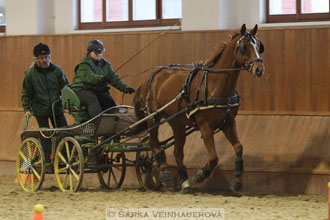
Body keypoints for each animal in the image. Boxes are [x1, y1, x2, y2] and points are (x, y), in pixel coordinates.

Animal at [133, 23, 264, 193]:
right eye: (244, 46)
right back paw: (165, 174)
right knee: (153, 143)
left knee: (178, 151)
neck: (215, 85)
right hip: (153, 118)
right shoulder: (205, 126)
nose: (259, 69)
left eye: (259, 45)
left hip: (177, 122)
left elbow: (238, 147)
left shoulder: (228, 123)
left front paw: (237, 181)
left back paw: (185, 183)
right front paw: (200, 175)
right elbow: (214, 157)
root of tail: (150, 78)